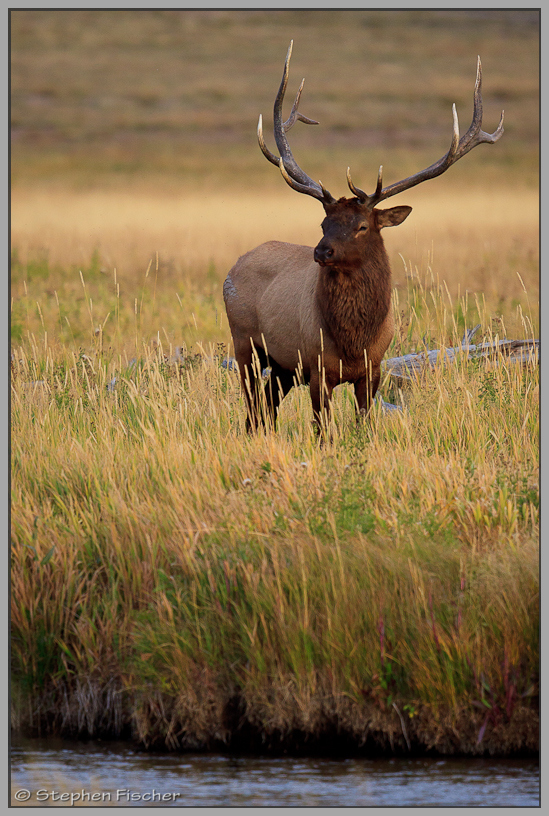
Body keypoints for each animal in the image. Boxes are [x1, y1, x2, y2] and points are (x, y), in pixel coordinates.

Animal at [222, 41, 500, 436]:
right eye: (324, 223)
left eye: (362, 226)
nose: (322, 252)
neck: (355, 342)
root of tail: (233, 267)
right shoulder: (317, 366)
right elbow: (323, 430)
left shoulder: (374, 368)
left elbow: (365, 425)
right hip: (244, 341)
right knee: (252, 401)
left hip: (282, 366)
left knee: (265, 406)